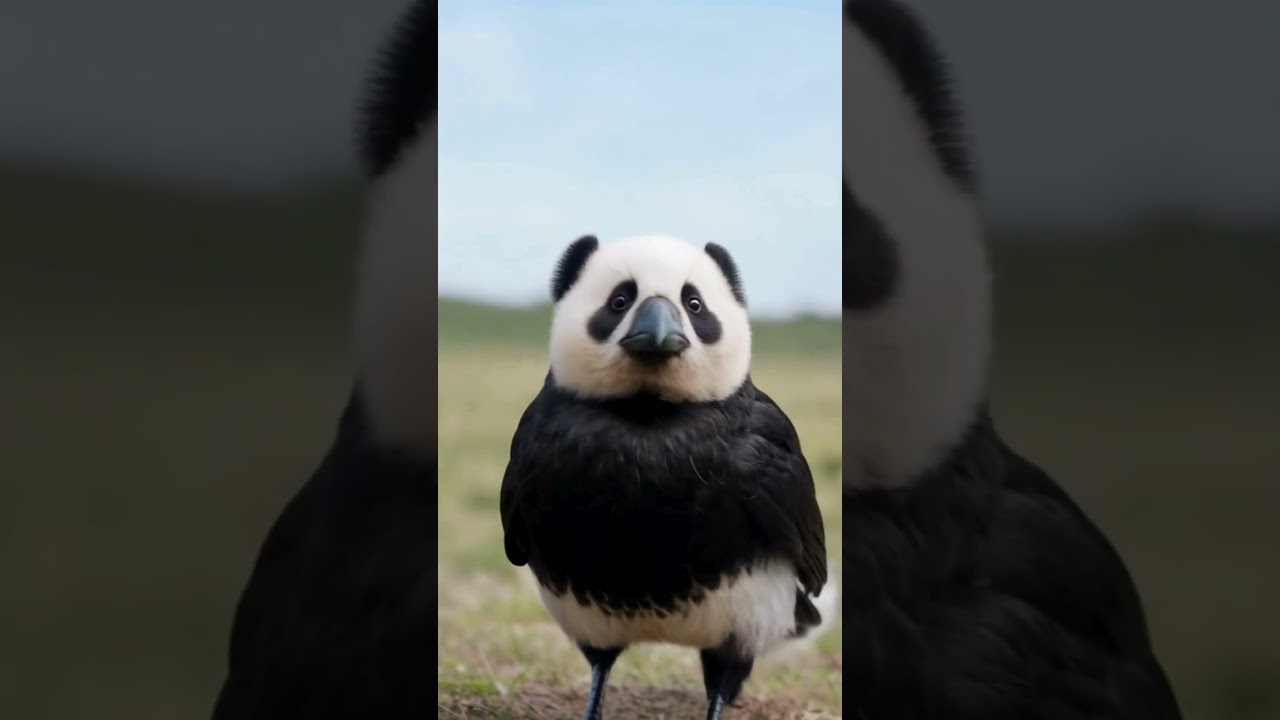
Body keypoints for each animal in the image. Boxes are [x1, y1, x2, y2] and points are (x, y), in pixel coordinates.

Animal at [499, 234, 836, 720]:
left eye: (693, 304)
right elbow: (599, 666)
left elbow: (723, 681)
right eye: (619, 301)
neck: (648, 415)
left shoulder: (773, 479)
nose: (658, 330)